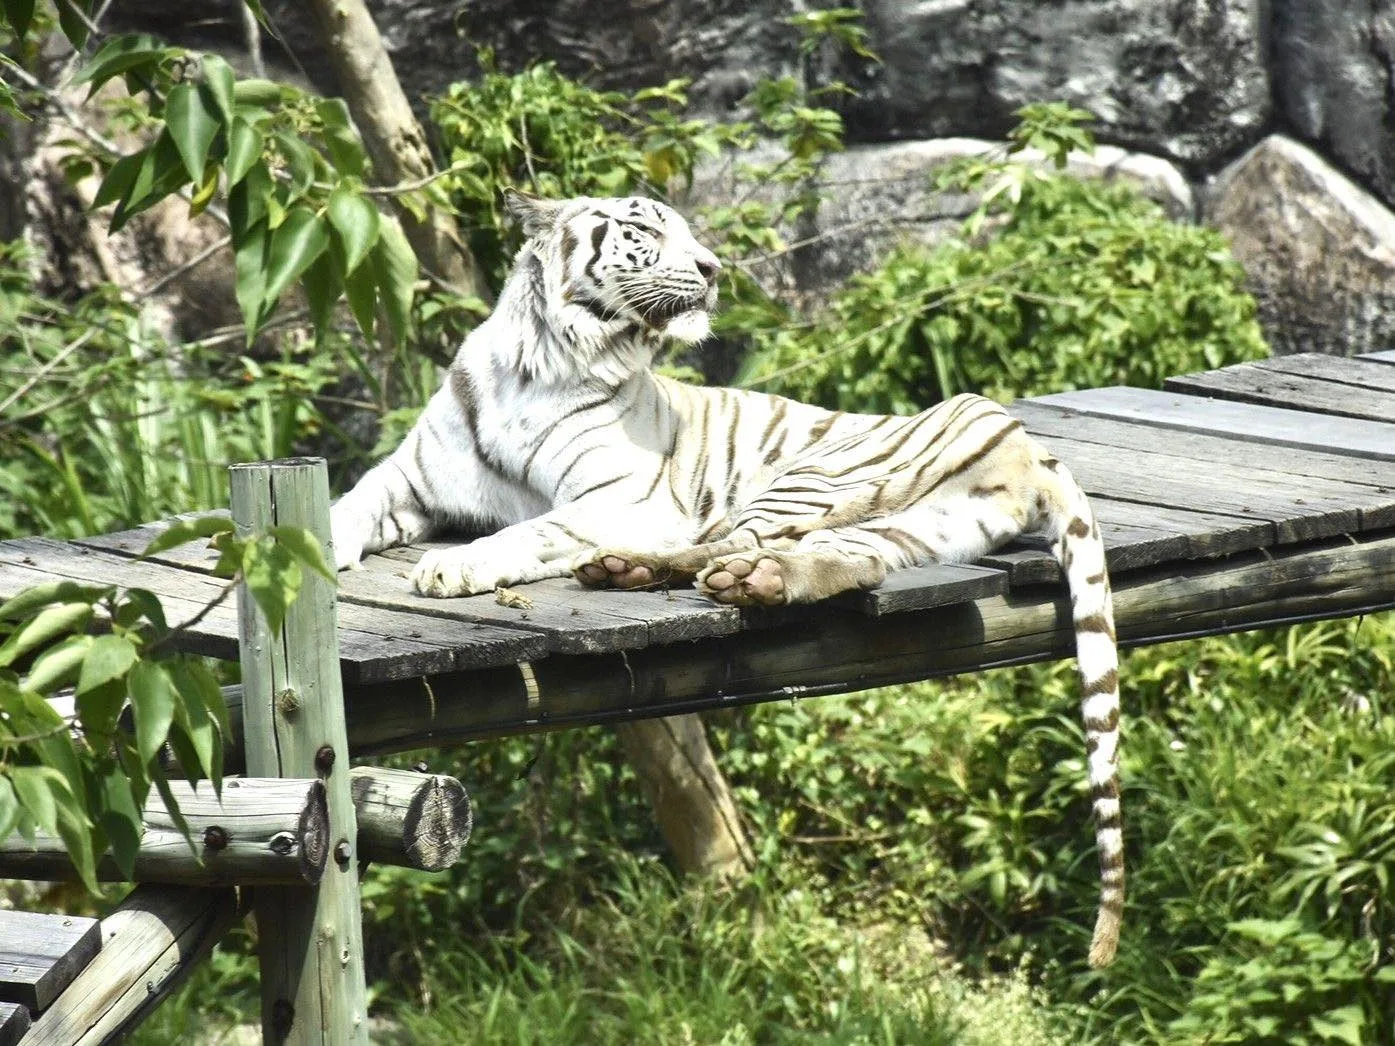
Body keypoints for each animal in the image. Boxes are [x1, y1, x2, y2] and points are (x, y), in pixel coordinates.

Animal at [329, 188, 1125, 967]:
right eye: (644, 229)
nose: (713, 269)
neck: (541, 366)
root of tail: (1032, 449)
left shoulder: (625, 498)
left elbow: (534, 529)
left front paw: (453, 564)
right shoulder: (408, 480)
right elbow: (342, 510)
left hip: (813, 476)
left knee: (715, 546)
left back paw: (639, 568)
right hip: (912, 524)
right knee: (834, 557)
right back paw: (743, 579)